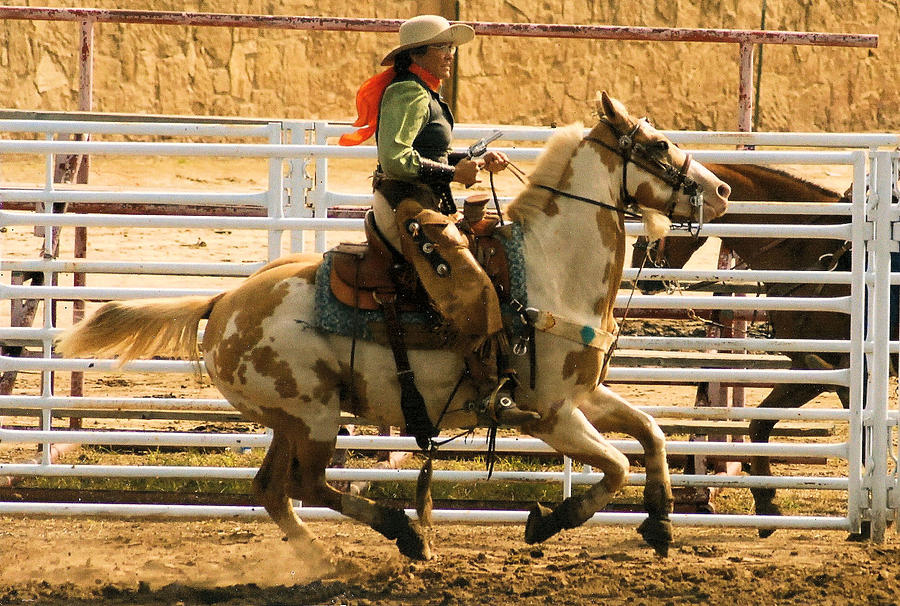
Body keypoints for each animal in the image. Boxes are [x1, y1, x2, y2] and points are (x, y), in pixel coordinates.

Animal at [52, 92, 732, 572]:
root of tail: (224, 303)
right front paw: (547, 520)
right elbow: (616, 466)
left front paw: (661, 523)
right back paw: (404, 534)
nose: (722, 189)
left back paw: (326, 557)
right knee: (305, 482)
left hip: (290, 419)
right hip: (316, 414)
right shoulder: (548, 413)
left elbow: (651, 434)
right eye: (662, 143)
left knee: (273, 490)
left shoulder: (582, 394)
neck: (548, 270)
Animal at [628, 164, 856, 540]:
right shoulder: (815, 367)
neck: (810, 250)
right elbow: (759, 424)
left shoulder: (831, 369)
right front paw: (766, 505)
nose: (639, 270)